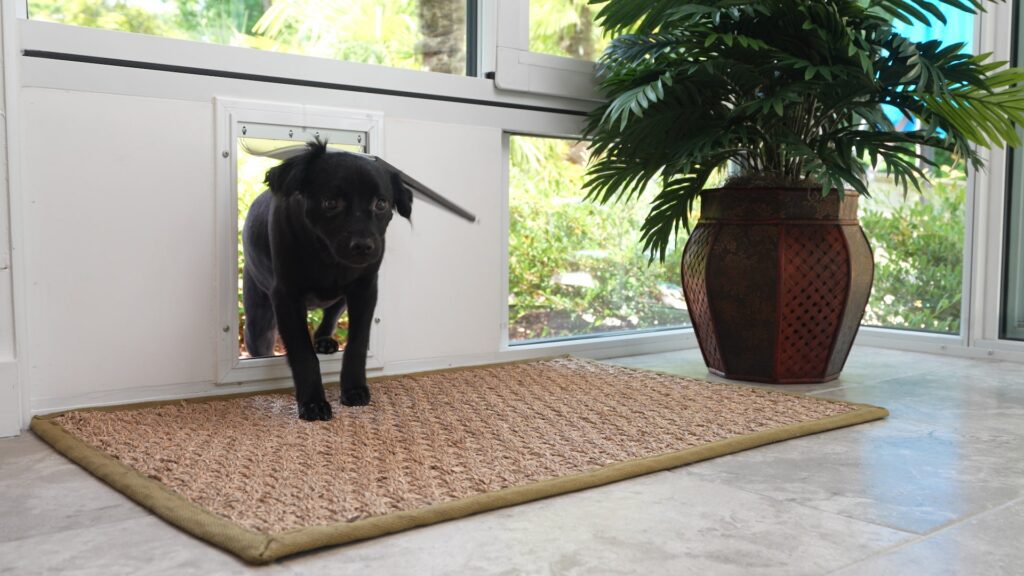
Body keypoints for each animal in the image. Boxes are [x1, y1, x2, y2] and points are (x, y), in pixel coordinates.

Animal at [241, 139, 409, 416]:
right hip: (258, 319)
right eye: (330, 203)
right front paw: (312, 402)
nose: (364, 246)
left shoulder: (365, 289)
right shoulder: (286, 296)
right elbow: (302, 353)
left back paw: (324, 340)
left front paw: (354, 389)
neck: (326, 257)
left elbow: (357, 345)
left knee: (332, 312)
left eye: (381, 204)